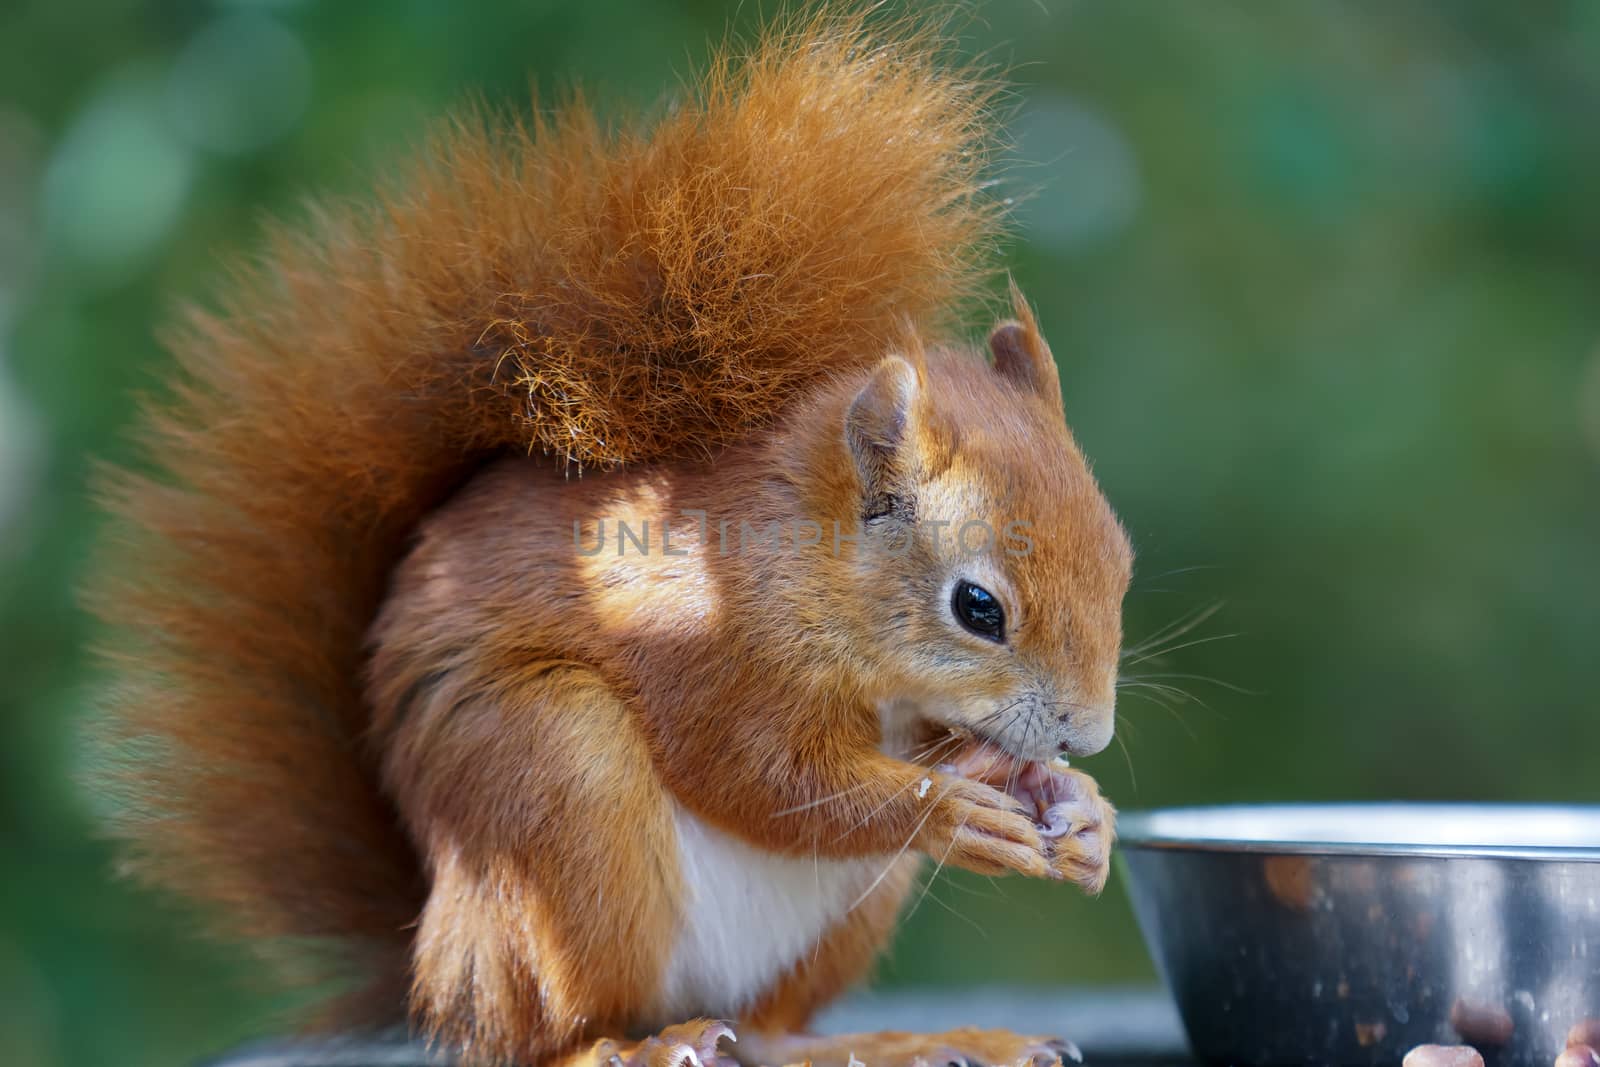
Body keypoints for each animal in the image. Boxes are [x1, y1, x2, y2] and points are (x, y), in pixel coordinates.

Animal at [87, 8, 1132, 1067]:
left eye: (1122, 562)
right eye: (978, 607)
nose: (1089, 733)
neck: (807, 574)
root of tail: (432, 972)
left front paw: (1085, 813)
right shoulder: (700, 650)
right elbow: (766, 780)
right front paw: (949, 806)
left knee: (770, 1031)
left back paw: (912, 1038)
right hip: (554, 788)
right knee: (538, 1035)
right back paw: (628, 1045)